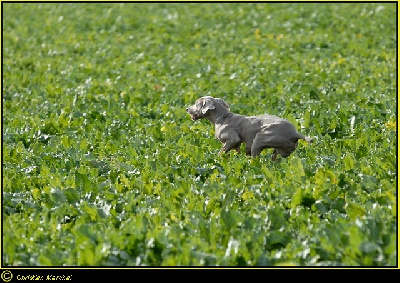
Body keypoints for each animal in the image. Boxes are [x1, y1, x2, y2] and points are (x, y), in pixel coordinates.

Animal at [186, 96, 314, 160]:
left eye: (196, 103)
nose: (187, 109)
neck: (222, 118)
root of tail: (295, 133)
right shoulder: (236, 145)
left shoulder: (233, 139)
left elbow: (221, 152)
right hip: (281, 151)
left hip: (260, 139)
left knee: (255, 158)